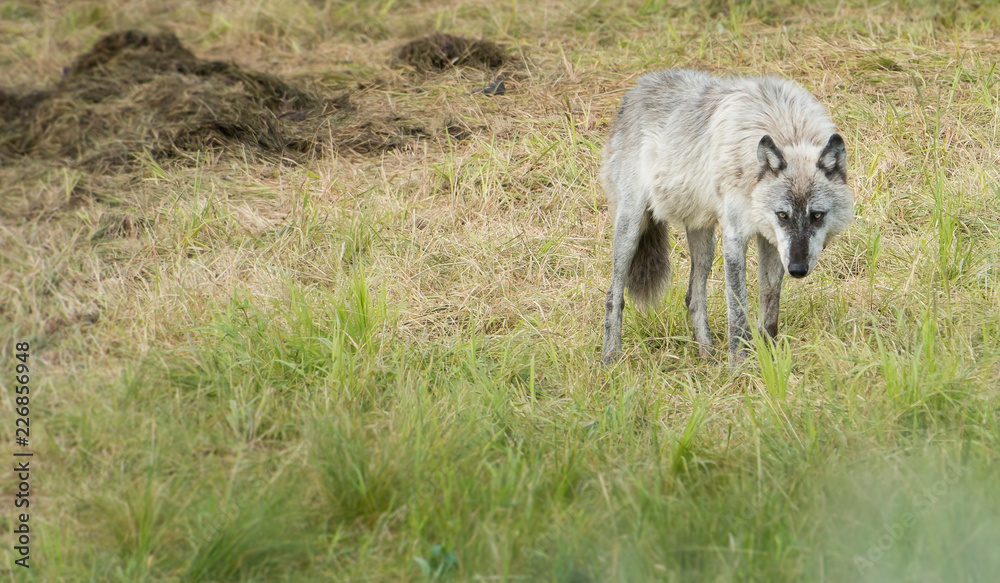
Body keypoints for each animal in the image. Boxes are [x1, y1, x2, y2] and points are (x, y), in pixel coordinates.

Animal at [600, 69, 854, 365]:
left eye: (816, 215)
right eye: (783, 215)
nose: (798, 270)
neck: (785, 128)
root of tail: (635, 90)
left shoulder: (772, 243)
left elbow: (770, 304)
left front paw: (770, 360)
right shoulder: (735, 238)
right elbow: (738, 310)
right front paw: (739, 366)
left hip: (704, 240)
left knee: (693, 298)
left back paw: (707, 358)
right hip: (632, 228)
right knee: (613, 295)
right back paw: (610, 358)